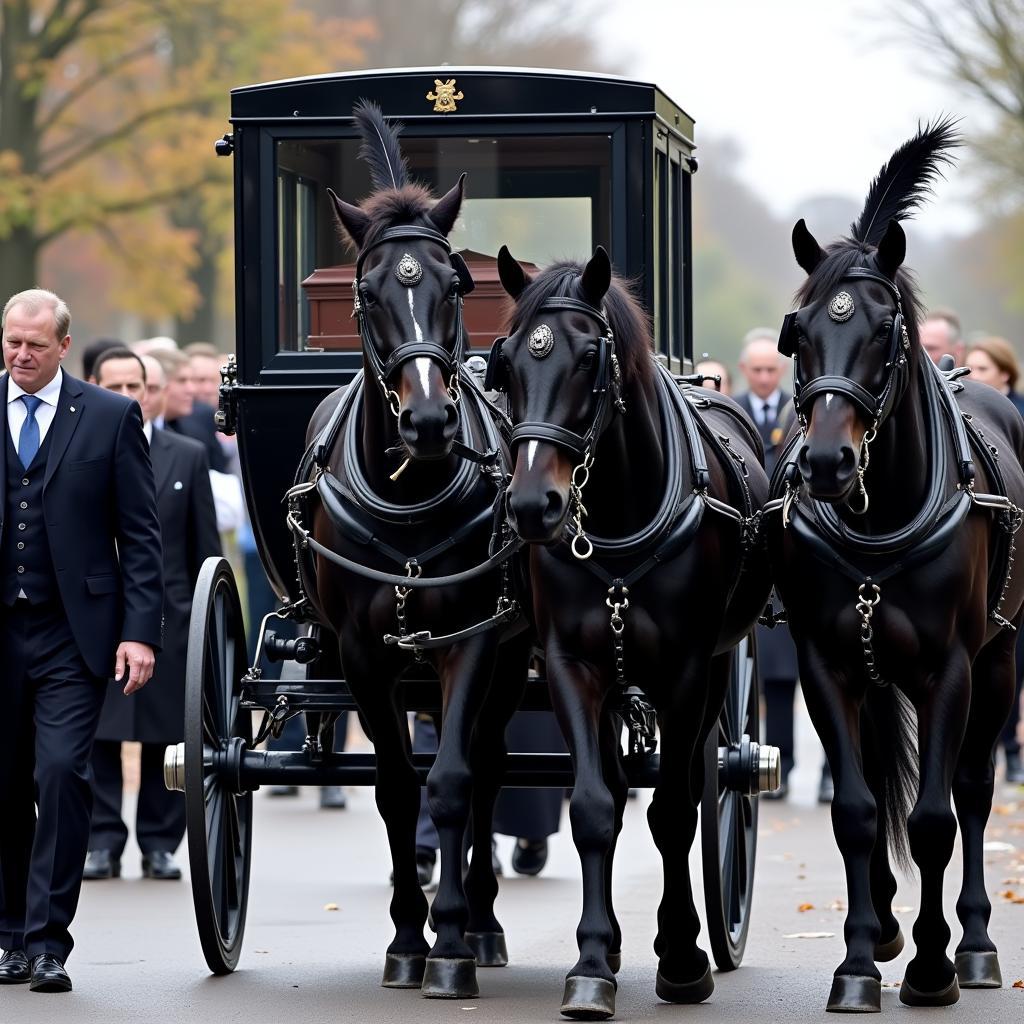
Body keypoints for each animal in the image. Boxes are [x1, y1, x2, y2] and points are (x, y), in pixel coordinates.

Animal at [292, 103, 524, 999]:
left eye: (455, 285)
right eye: (367, 292)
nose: (427, 420)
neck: (411, 502)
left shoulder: (474, 640)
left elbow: (454, 781)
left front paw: (453, 940)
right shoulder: (364, 657)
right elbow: (397, 788)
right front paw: (406, 938)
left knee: (489, 766)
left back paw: (484, 923)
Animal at [487, 245, 770, 1015]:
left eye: (589, 357)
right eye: (506, 362)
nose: (534, 504)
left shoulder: (688, 672)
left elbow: (673, 809)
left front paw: (682, 956)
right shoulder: (571, 666)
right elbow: (592, 806)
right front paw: (591, 961)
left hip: (714, 674)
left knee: (704, 781)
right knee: (613, 792)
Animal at [770, 119, 1024, 1007]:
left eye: (882, 331)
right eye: (800, 333)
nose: (825, 464)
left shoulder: (950, 666)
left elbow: (937, 818)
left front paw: (933, 964)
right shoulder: (828, 662)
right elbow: (856, 809)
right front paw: (856, 960)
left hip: (999, 658)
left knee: (974, 792)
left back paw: (974, 942)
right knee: (882, 779)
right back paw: (881, 922)